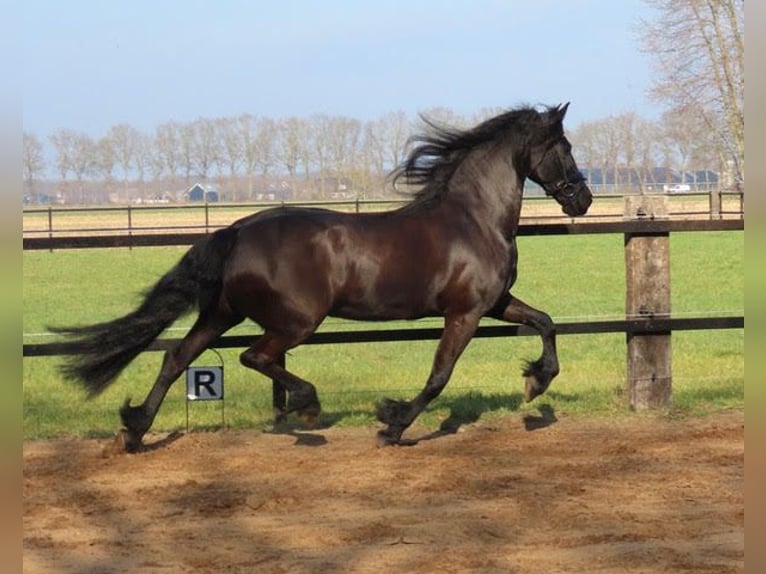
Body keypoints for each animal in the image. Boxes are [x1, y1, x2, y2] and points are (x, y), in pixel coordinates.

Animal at [53, 103, 592, 451]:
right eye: (564, 146)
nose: (583, 199)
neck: (472, 219)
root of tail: (238, 231)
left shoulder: (495, 302)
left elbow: (546, 322)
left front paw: (536, 382)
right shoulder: (467, 311)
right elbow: (440, 374)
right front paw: (393, 423)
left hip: (223, 312)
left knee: (177, 357)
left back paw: (134, 430)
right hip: (296, 320)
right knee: (254, 356)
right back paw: (307, 407)